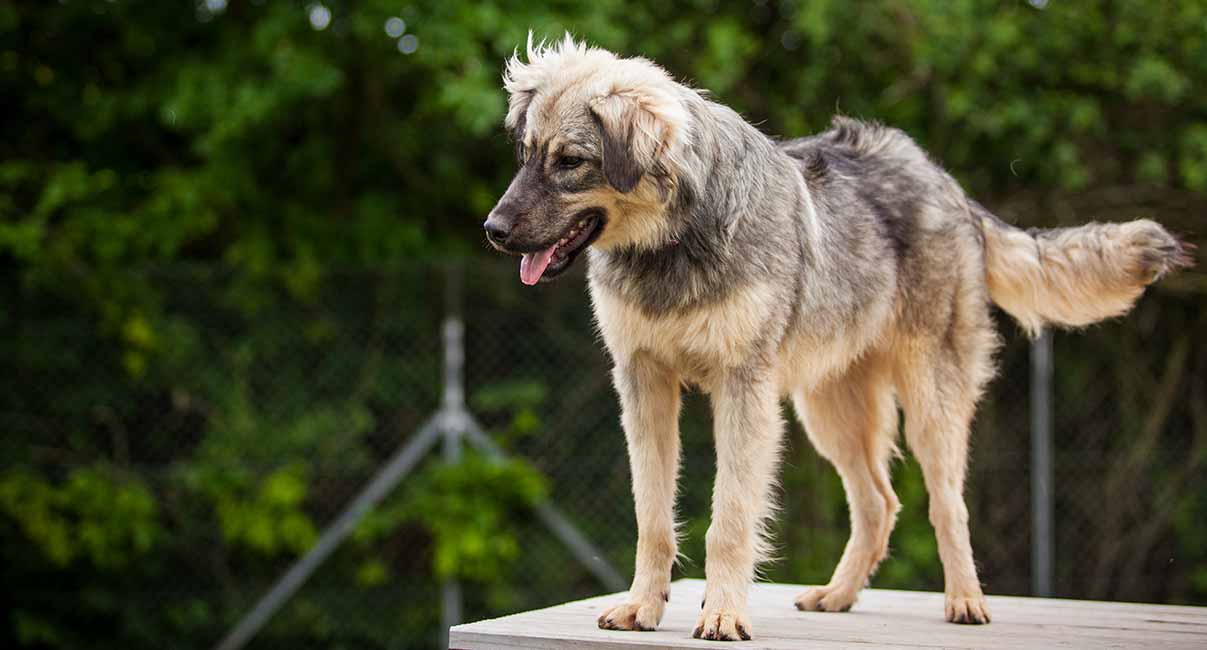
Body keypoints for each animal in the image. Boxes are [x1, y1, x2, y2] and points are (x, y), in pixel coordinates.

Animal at [482, 34, 1197, 641]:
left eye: (571, 162)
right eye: (524, 156)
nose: (493, 229)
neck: (674, 241)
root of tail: (945, 183)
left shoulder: (743, 392)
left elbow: (730, 520)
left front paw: (724, 615)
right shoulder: (644, 386)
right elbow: (653, 516)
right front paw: (642, 606)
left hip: (929, 405)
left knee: (946, 505)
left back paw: (965, 601)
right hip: (827, 409)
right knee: (880, 502)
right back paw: (838, 595)